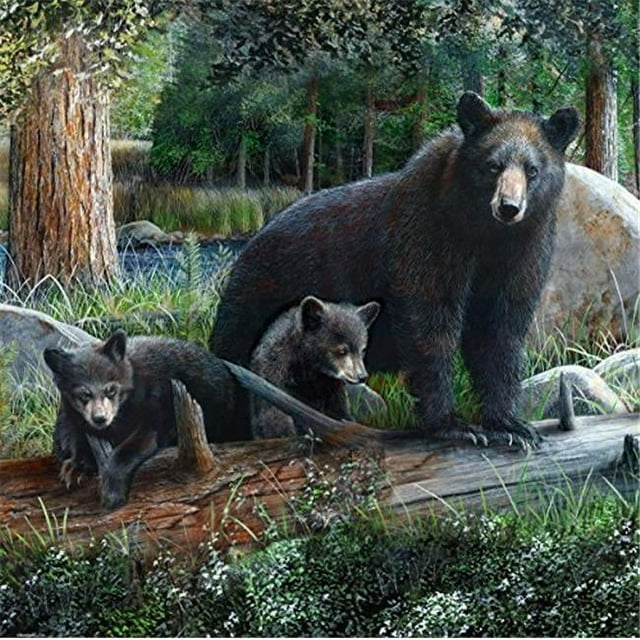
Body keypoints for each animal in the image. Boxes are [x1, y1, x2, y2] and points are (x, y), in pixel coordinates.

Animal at [249, 295, 380, 439]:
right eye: (341, 350)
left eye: (362, 350)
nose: (362, 376)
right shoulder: (275, 373)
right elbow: (273, 415)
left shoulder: (331, 389)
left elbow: (338, 412)